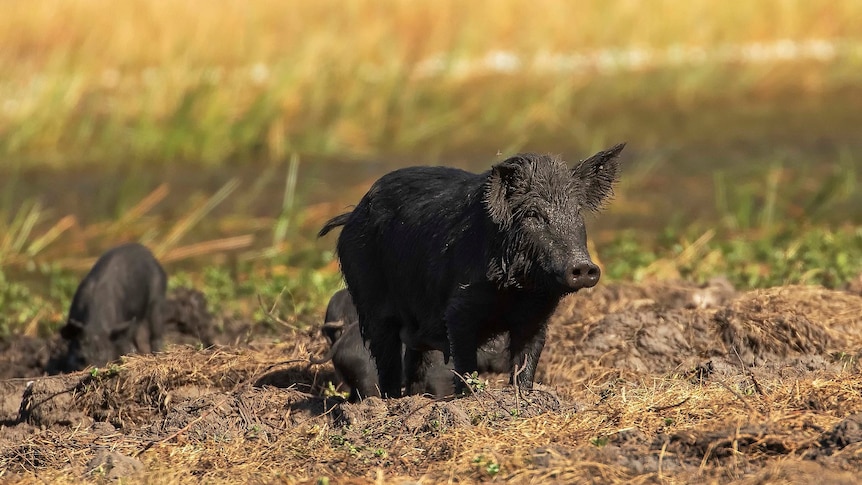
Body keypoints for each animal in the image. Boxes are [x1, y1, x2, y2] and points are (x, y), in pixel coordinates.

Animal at [58, 242, 167, 370]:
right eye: (81, 357)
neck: (96, 326)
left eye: (105, 356)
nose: (94, 367)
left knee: (156, 331)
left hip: (157, 296)